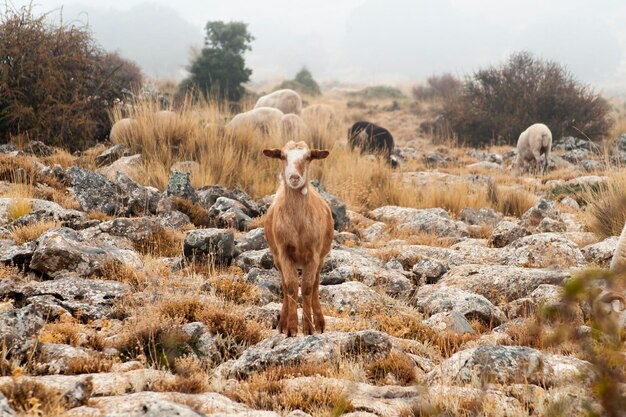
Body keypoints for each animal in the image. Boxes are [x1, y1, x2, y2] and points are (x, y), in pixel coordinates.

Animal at [260, 140, 334, 334]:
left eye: (308, 157)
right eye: (282, 156)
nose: (294, 178)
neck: (298, 227)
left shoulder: (314, 255)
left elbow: (307, 288)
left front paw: (308, 328)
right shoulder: (284, 252)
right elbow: (292, 286)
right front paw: (291, 328)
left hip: (321, 258)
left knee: (315, 285)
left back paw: (320, 323)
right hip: (276, 257)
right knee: (286, 286)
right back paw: (282, 324)